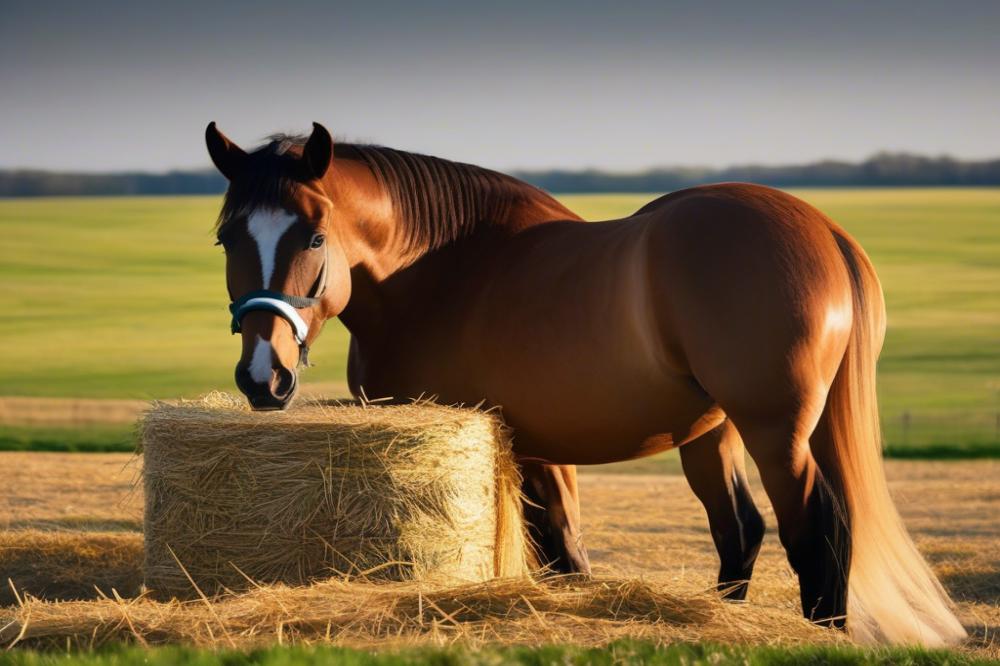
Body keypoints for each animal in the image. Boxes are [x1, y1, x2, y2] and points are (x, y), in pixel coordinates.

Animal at [205, 120, 968, 644]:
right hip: (713, 435)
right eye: (226, 238)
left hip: (773, 431)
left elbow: (563, 556)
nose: (263, 375)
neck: (443, 273)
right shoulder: (535, 449)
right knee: (740, 531)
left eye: (312, 236)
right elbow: (564, 557)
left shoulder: (519, 445)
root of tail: (826, 231)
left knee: (816, 527)